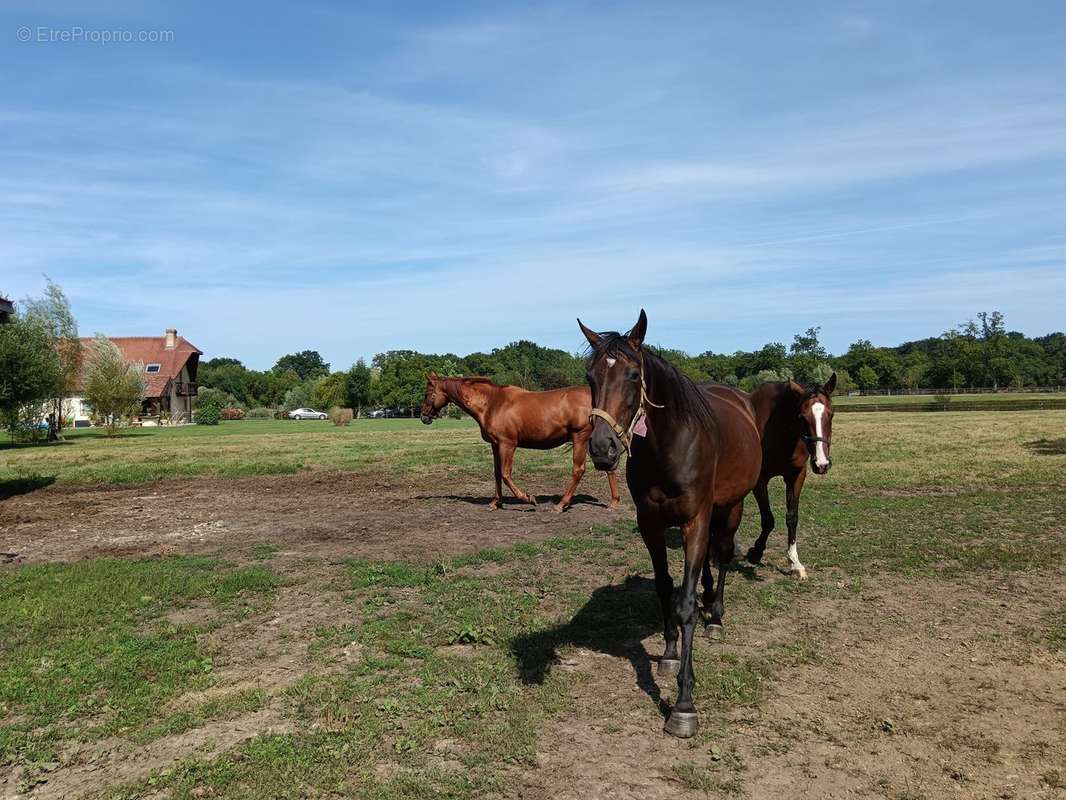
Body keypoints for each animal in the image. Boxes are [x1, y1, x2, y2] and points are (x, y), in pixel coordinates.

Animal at [415, 375, 618, 514]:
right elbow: (497, 473)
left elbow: (506, 474)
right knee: (608, 467)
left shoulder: (508, 445)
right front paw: (495, 502)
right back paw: (614, 501)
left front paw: (528, 498)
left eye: (428, 393)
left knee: (578, 470)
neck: (492, 403)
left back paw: (562, 504)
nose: (423, 416)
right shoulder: (495, 445)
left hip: (580, 438)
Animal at [579, 311, 763, 738]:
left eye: (633, 374)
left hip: (731, 506)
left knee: (722, 555)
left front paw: (683, 704)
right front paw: (668, 653)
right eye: (590, 377)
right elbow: (666, 588)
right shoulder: (651, 523)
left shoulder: (696, 519)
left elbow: (684, 603)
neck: (670, 445)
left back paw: (716, 615)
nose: (601, 448)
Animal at [741, 375, 831, 576]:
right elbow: (768, 520)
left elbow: (792, 517)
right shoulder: (760, 480)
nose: (822, 464)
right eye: (802, 417)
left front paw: (794, 561)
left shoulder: (796, 476)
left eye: (831, 414)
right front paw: (755, 552)